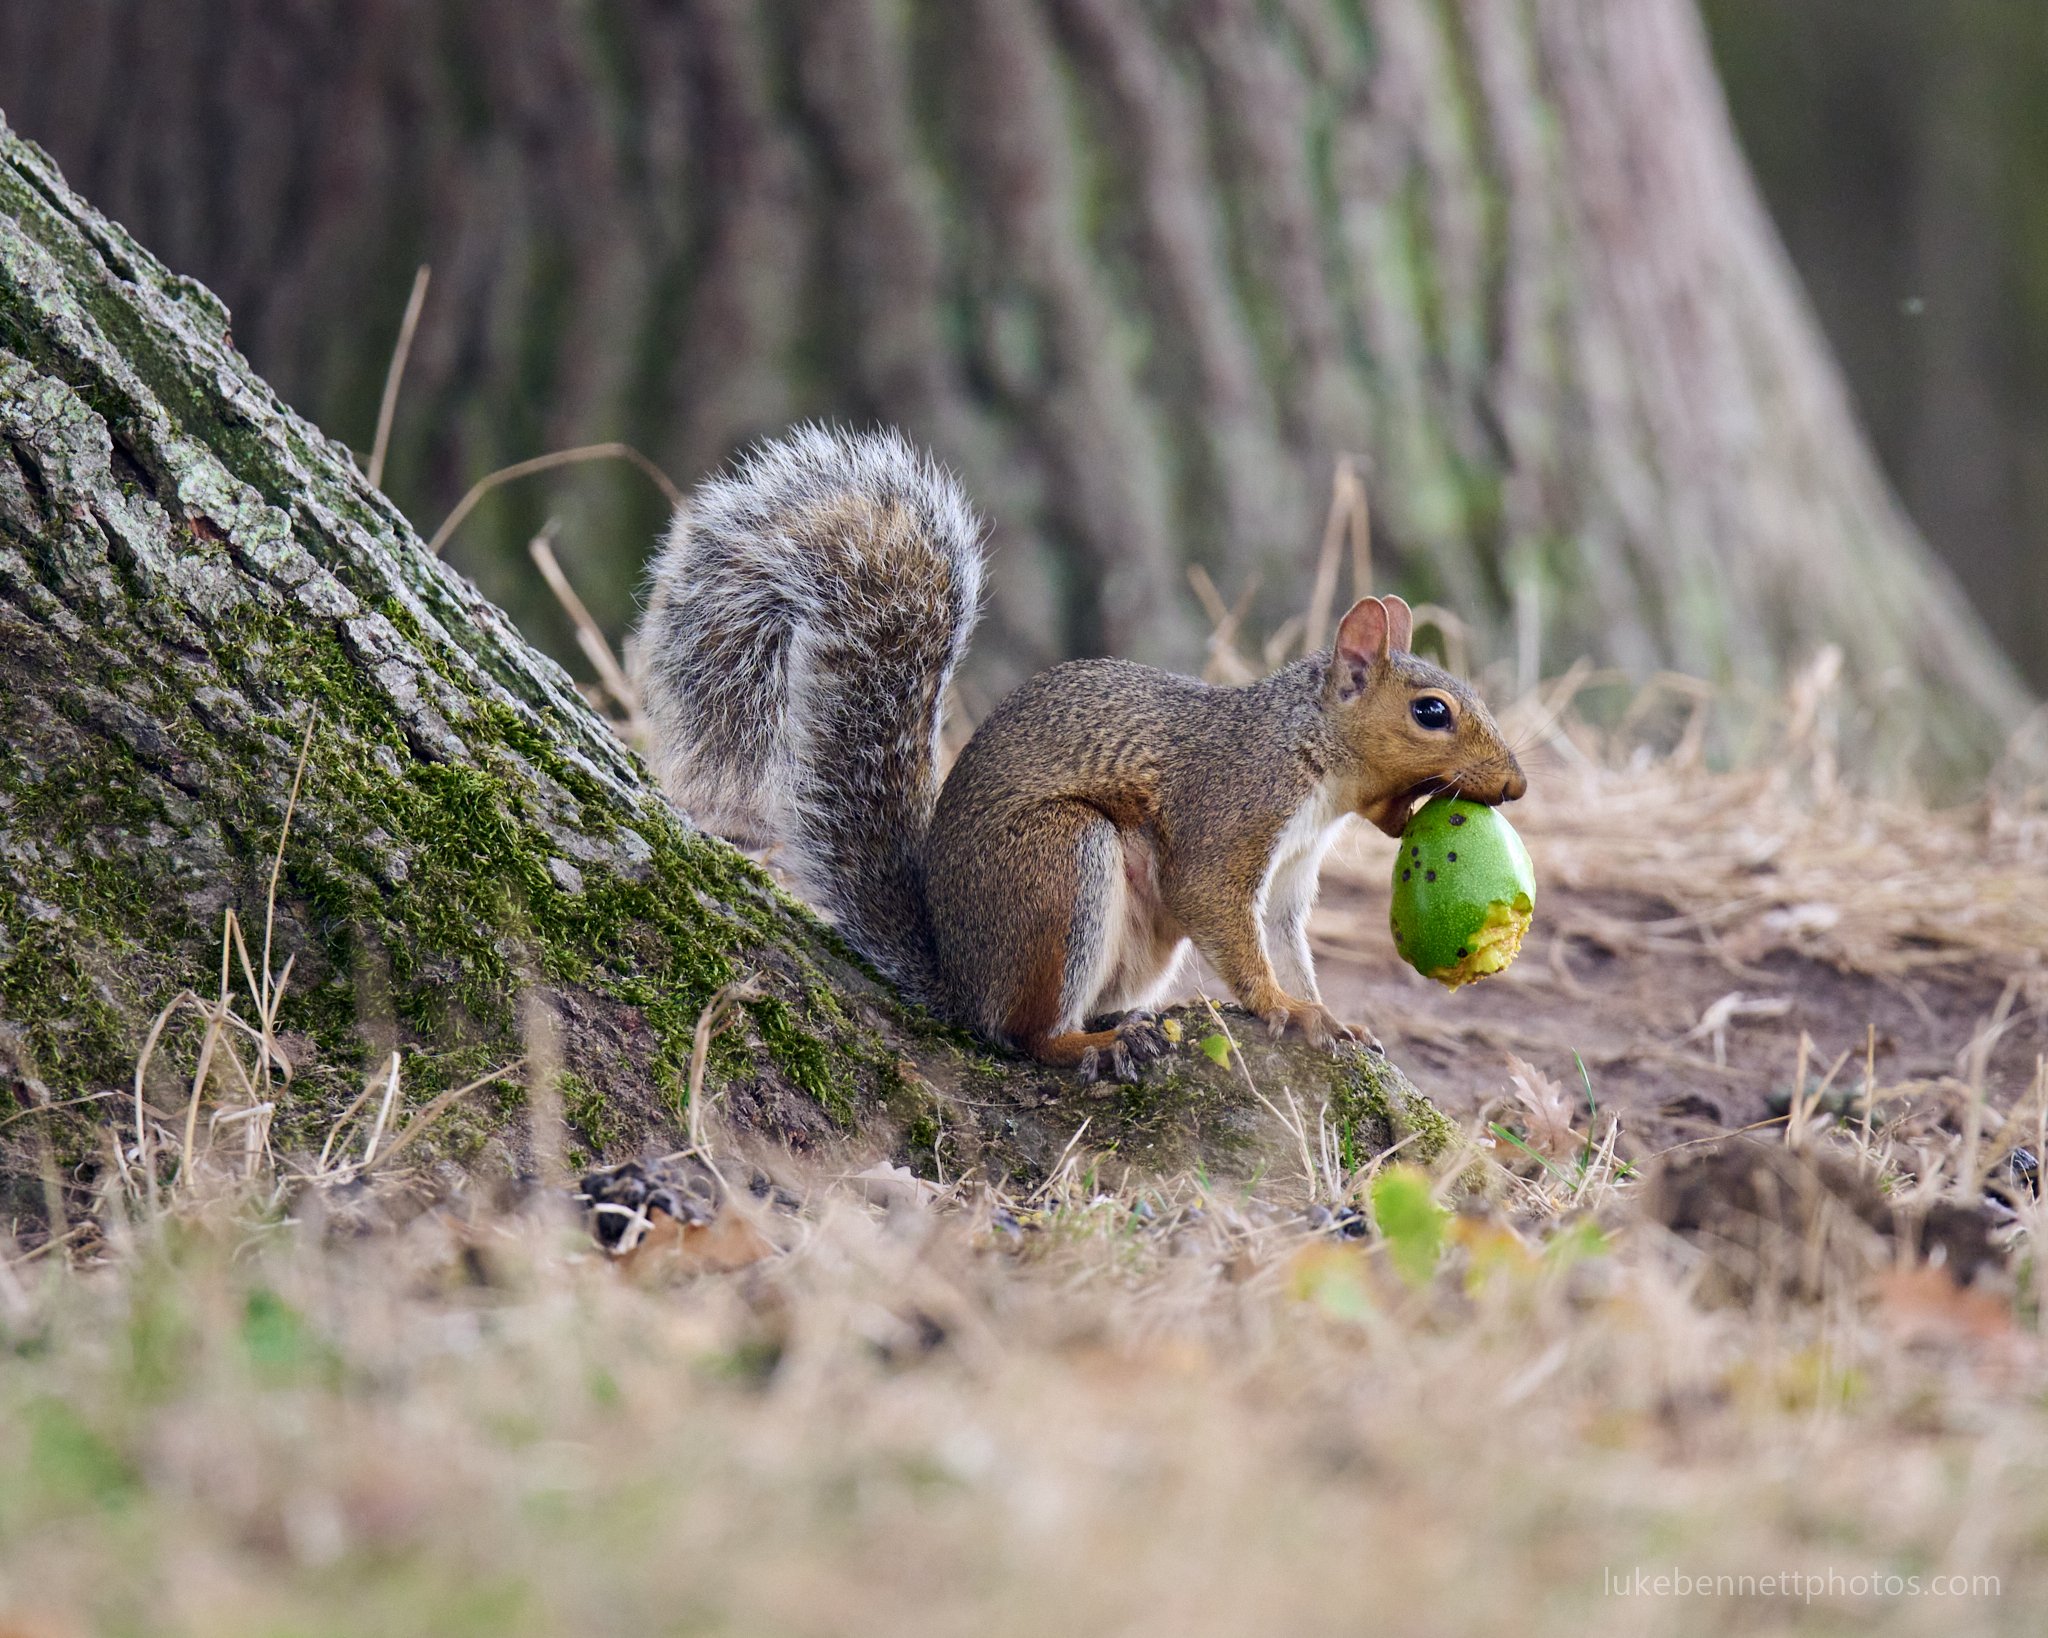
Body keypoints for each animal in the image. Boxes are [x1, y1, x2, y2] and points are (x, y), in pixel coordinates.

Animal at [634, 427, 1523, 1081]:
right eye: (1432, 712)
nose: (1514, 786)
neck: (1307, 755)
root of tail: (960, 979)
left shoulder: (1292, 874)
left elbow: (1286, 940)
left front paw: (1327, 1016)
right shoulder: (1231, 816)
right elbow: (1221, 914)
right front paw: (1281, 1009)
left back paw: (1129, 1019)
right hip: (1060, 865)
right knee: (1027, 1035)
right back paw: (1091, 1043)